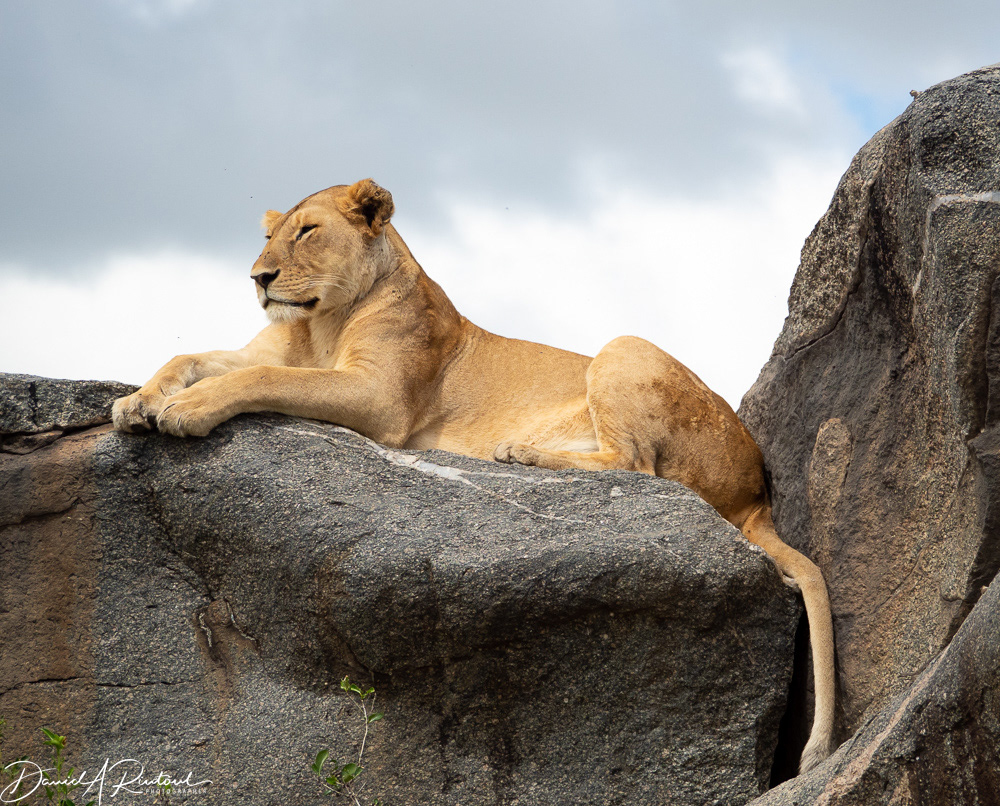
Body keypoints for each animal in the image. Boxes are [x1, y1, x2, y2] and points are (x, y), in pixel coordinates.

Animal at [112, 178, 835, 774]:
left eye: (308, 231)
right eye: (269, 236)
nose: (260, 278)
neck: (317, 324)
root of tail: (758, 495)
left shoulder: (379, 400)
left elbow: (261, 377)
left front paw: (184, 411)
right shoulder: (267, 355)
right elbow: (193, 357)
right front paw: (135, 403)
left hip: (624, 347)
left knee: (640, 467)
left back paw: (520, 455)